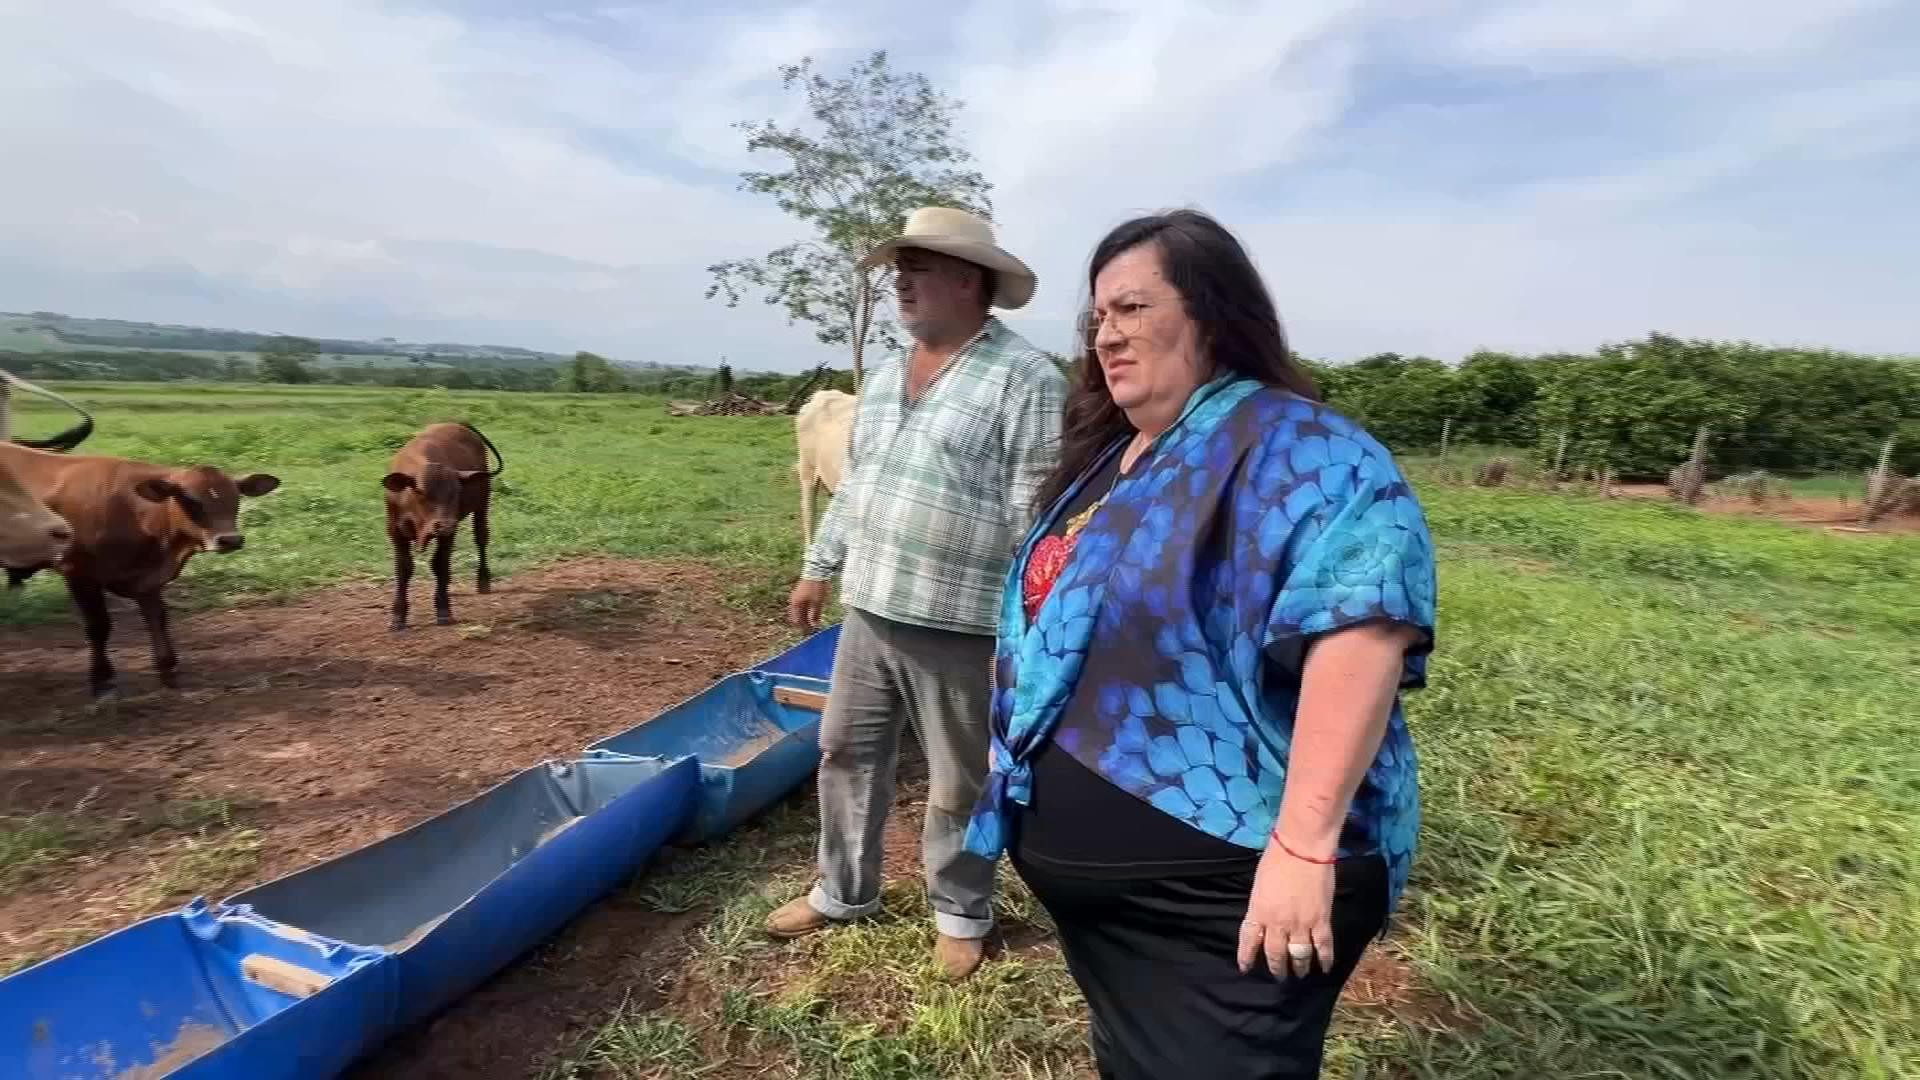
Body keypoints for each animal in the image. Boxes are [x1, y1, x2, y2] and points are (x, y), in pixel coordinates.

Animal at [0, 440, 280, 699]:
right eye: (190, 500)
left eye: (236, 497)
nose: (230, 540)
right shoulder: (79, 572)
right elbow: (99, 626)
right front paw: (102, 681)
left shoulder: (149, 581)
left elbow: (158, 619)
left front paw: (167, 670)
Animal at [378, 417, 503, 626]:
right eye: (420, 491)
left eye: (457, 491)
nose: (445, 524)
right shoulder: (395, 530)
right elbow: (403, 568)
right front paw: (398, 615)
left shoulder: (448, 533)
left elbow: (439, 564)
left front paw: (443, 608)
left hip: (482, 505)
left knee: (481, 538)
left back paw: (483, 580)